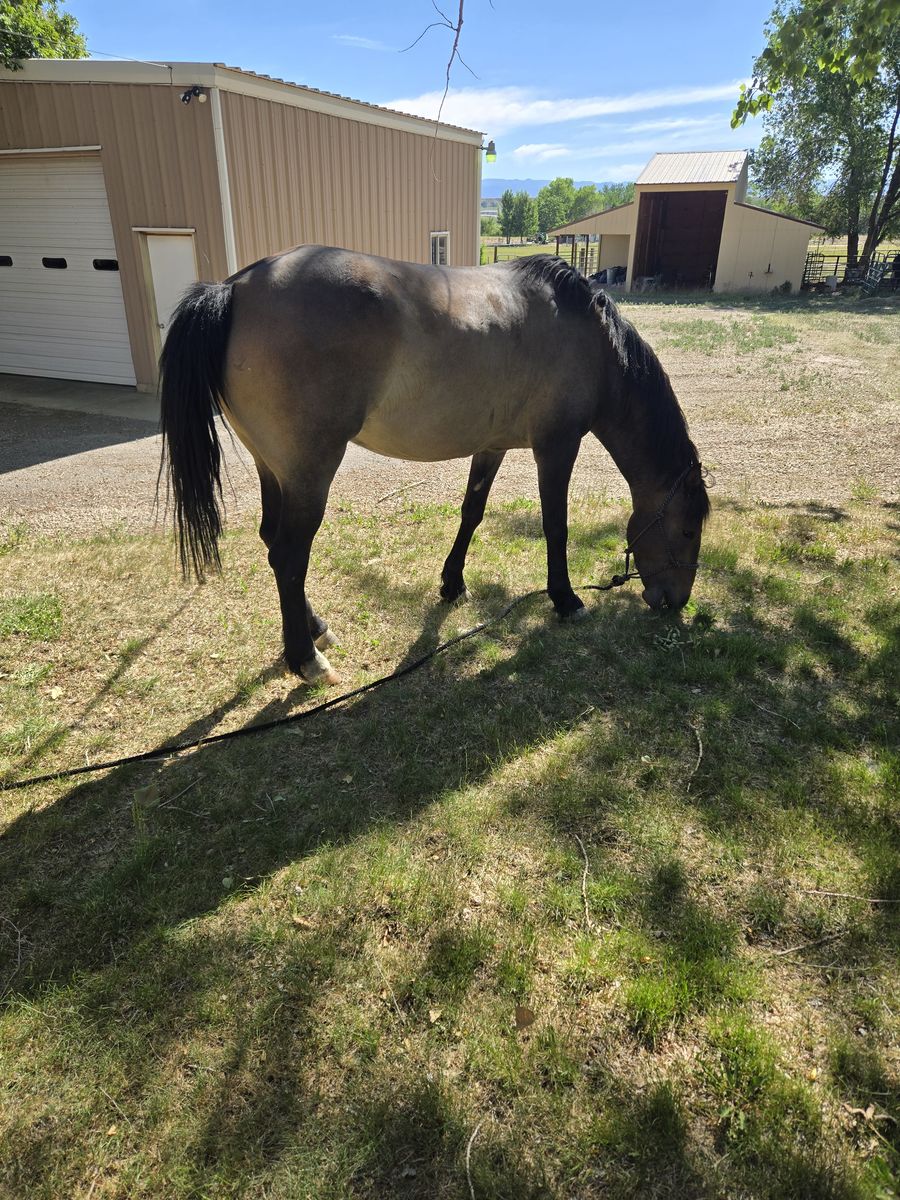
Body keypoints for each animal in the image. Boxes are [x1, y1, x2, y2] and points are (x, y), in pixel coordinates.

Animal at [159, 247, 709, 685]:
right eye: (687, 531)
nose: (675, 601)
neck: (592, 344)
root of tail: (234, 288)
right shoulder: (556, 447)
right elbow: (556, 526)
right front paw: (566, 598)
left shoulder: (492, 446)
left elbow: (472, 513)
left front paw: (452, 584)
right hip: (309, 474)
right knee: (289, 557)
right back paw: (306, 659)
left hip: (274, 470)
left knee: (272, 542)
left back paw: (315, 631)